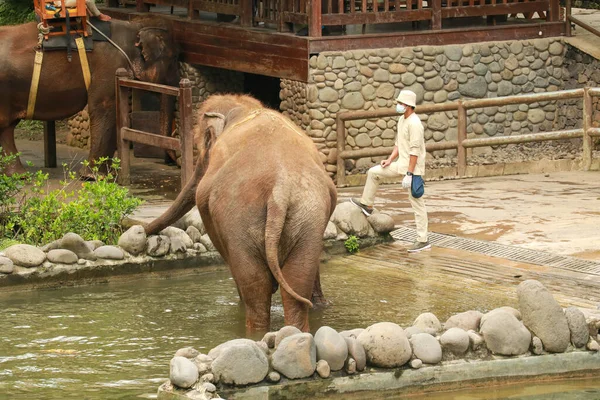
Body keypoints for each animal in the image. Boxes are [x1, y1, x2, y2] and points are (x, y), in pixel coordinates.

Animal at [0, 18, 178, 175]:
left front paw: (107, 174)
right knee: (5, 127)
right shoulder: (109, 68)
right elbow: (104, 109)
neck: (134, 26)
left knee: (6, 128)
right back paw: (20, 175)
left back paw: (18, 175)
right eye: (171, 62)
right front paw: (93, 177)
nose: (173, 161)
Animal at [143, 95, 336, 332]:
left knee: (256, 288)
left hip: (240, 219)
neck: (243, 107)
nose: (142, 230)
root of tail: (279, 189)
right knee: (296, 281)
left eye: (202, 145)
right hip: (307, 215)